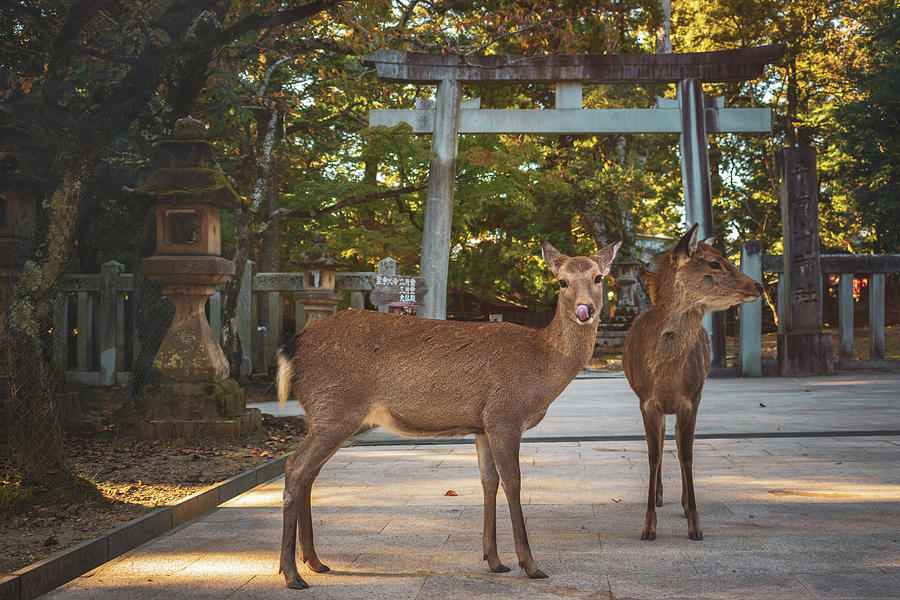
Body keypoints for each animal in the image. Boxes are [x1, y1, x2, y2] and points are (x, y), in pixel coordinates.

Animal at [276, 238, 620, 584]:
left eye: (598, 277)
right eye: (561, 281)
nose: (585, 310)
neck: (544, 363)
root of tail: (289, 348)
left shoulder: (482, 425)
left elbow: (488, 481)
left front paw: (494, 560)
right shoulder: (505, 415)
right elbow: (513, 482)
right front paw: (530, 564)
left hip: (326, 415)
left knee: (309, 473)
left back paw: (315, 561)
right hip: (335, 409)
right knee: (295, 466)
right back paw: (292, 573)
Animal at [624, 225, 764, 544]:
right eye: (714, 263)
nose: (758, 286)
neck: (666, 378)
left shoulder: (691, 399)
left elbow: (686, 455)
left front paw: (695, 524)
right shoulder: (647, 402)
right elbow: (653, 455)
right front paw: (648, 527)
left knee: (676, 445)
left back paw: (683, 502)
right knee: (661, 445)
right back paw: (660, 496)